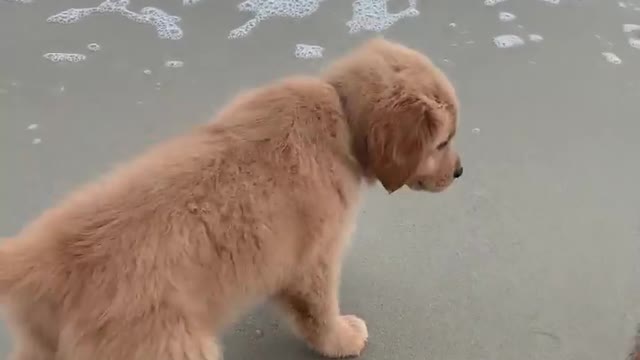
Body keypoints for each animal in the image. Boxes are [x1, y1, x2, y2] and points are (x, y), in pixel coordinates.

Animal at [0, 38, 460, 358]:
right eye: (442, 143)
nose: (459, 172)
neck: (341, 114)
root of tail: (43, 260)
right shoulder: (313, 259)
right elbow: (319, 310)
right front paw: (342, 338)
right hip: (169, 345)